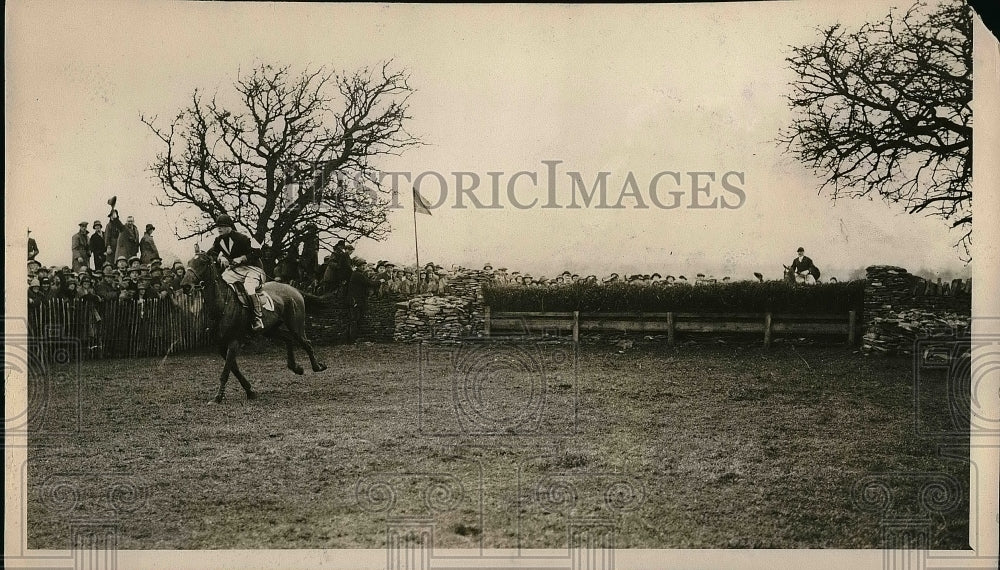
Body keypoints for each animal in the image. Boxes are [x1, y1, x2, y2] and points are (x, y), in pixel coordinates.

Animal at [182, 251, 330, 402]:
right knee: (288, 339)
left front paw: (218, 397)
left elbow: (226, 372)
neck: (223, 303)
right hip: (270, 330)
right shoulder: (221, 345)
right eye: (188, 263)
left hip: (296, 326)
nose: (185, 286)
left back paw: (317, 367)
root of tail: (293, 289)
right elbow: (234, 369)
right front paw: (249, 390)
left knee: (307, 343)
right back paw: (296, 368)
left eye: (202, 263)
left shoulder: (234, 342)